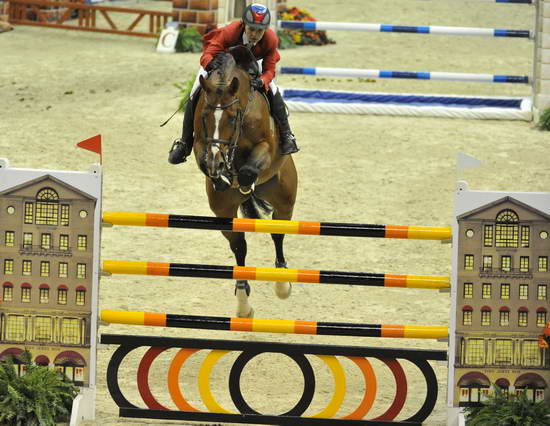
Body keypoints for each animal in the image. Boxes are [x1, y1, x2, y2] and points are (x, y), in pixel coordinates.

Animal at [193, 45, 298, 318]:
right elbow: (202, 153)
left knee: (278, 234)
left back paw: (282, 284)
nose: (216, 163)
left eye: (231, 117)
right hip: (223, 212)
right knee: (239, 246)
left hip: (284, 199)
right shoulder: (201, 142)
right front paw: (222, 175)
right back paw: (243, 302)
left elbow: (250, 168)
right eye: (206, 115)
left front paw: (241, 178)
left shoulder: (266, 147)